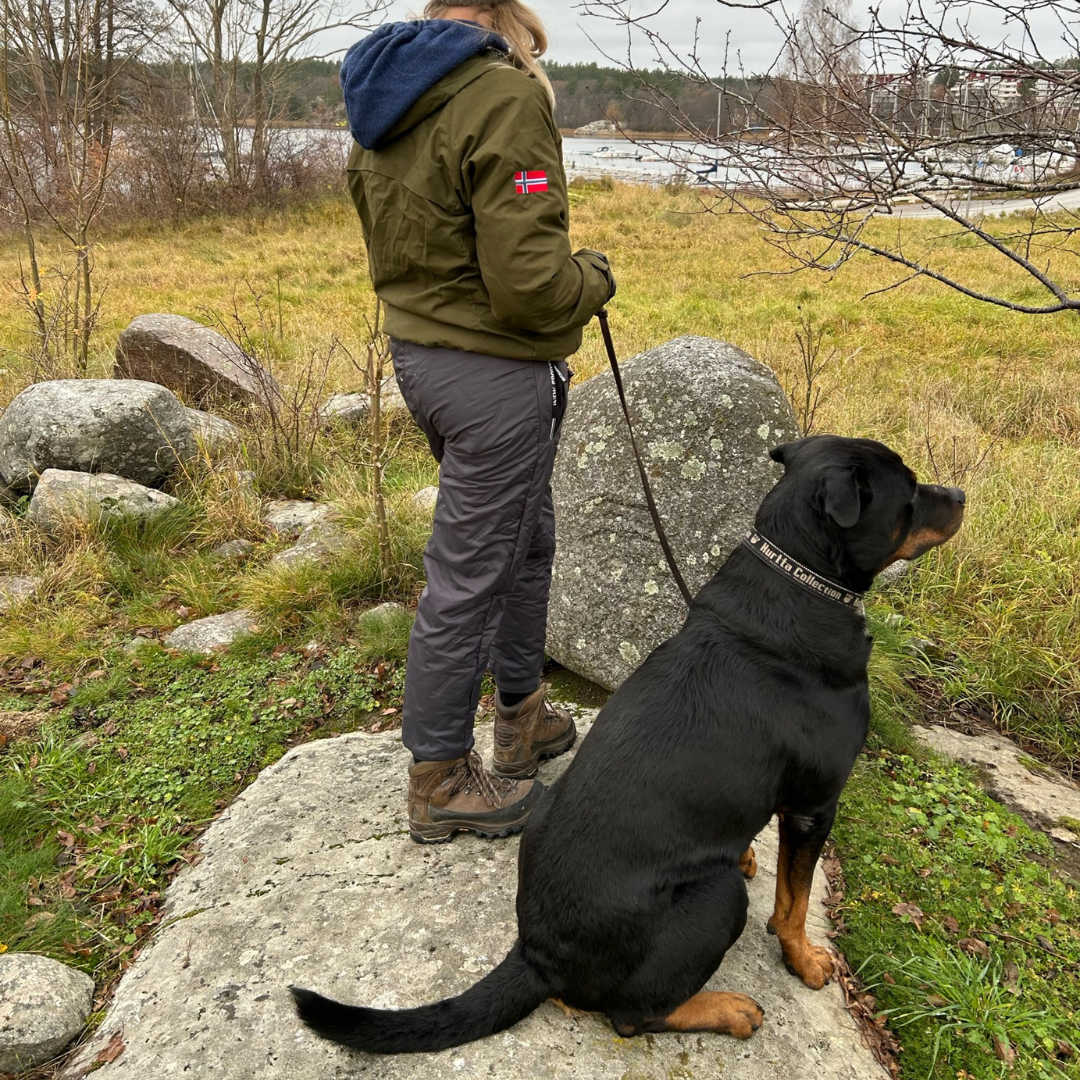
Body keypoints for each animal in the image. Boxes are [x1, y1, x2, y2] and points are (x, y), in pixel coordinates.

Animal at [291, 434, 967, 1049]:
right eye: (910, 492)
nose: (960, 494)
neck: (801, 583)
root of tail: (537, 954)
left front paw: (747, 851)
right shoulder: (814, 803)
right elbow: (793, 904)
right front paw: (804, 960)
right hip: (714, 899)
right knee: (632, 1015)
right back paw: (727, 1009)